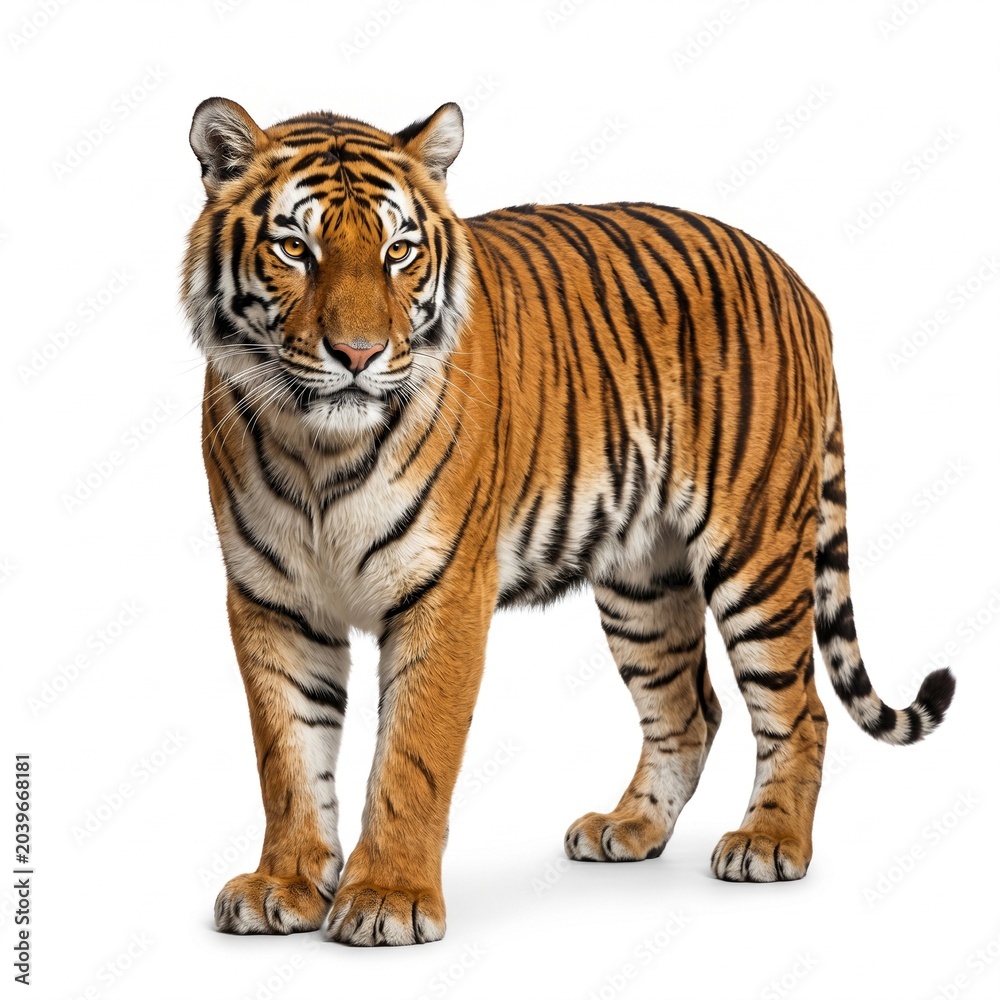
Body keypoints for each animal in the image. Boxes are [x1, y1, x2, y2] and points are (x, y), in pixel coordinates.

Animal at [181, 96, 956, 947]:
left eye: (397, 252)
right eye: (295, 248)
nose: (358, 353)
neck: (317, 447)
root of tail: (795, 279)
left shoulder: (445, 591)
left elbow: (412, 755)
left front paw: (388, 896)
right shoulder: (270, 598)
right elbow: (287, 755)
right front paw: (283, 885)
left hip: (755, 551)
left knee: (800, 707)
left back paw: (770, 841)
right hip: (643, 579)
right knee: (690, 709)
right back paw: (630, 829)